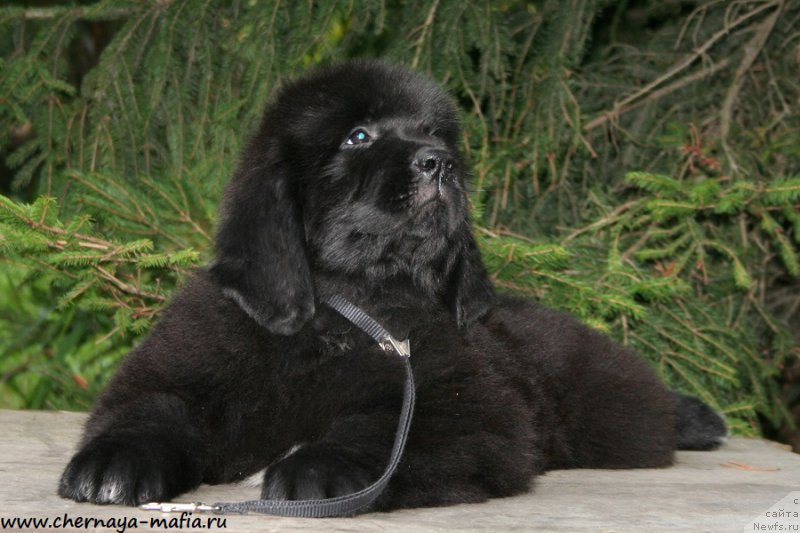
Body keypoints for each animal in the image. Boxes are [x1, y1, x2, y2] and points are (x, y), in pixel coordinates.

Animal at [61, 59, 724, 512]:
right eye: (360, 137)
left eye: (435, 134)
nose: (440, 163)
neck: (345, 310)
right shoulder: (181, 366)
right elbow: (152, 408)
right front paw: (113, 460)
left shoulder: (465, 406)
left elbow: (385, 430)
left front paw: (321, 466)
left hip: (613, 417)